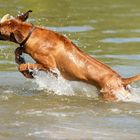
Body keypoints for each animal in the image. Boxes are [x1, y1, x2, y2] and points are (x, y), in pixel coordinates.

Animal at [0, 10, 140, 100]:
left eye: (0, 29)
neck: (31, 34)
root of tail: (121, 79)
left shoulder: (51, 67)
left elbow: (24, 66)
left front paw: (26, 71)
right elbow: (18, 49)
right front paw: (19, 58)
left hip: (109, 94)